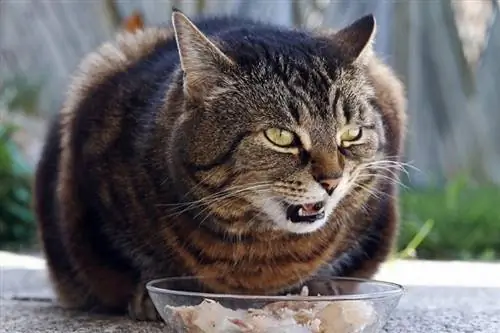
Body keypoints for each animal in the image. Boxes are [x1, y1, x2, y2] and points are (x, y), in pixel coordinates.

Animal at [34, 9, 406, 320]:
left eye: (351, 134)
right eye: (280, 136)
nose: (332, 180)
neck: (260, 249)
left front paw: (318, 286)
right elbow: (133, 256)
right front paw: (149, 291)